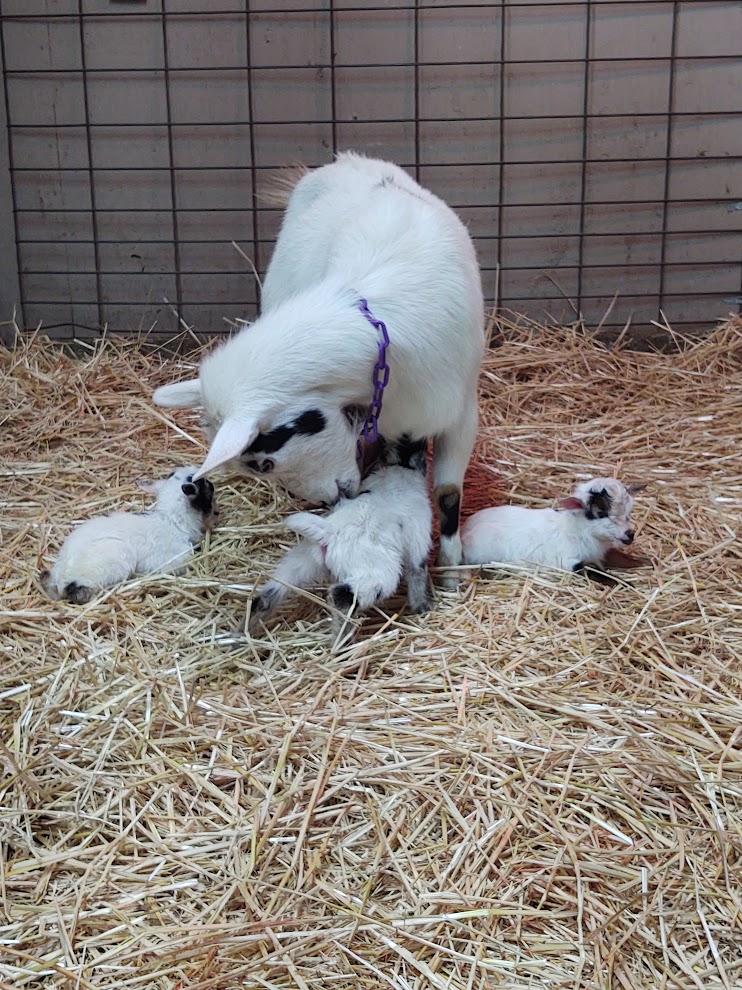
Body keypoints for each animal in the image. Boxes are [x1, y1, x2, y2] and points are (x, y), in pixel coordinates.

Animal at [152, 151, 485, 570]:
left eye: (264, 462)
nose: (330, 499)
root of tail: (347, 160)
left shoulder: (460, 412)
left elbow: (448, 493)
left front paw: (454, 564)